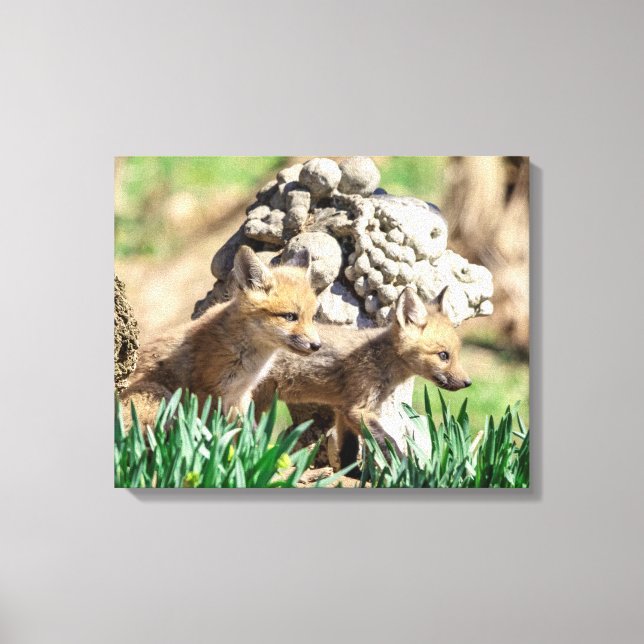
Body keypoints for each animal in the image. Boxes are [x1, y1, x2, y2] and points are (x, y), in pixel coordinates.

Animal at [120, 245, 321, 429]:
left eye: (312, 317)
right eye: (290, 316)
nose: (317, 346)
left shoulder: (240, 394)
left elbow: (247, 434)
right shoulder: (206, 392)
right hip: (160, 395)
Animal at [254, 286, 472, 472]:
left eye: (456, 354)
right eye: (443, 356)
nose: (468, 383)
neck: (382, 359)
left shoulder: (344, 408)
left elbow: (348, 450)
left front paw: (349, 475)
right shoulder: (358, 409)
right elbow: (388, 442)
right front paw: (408, 470)